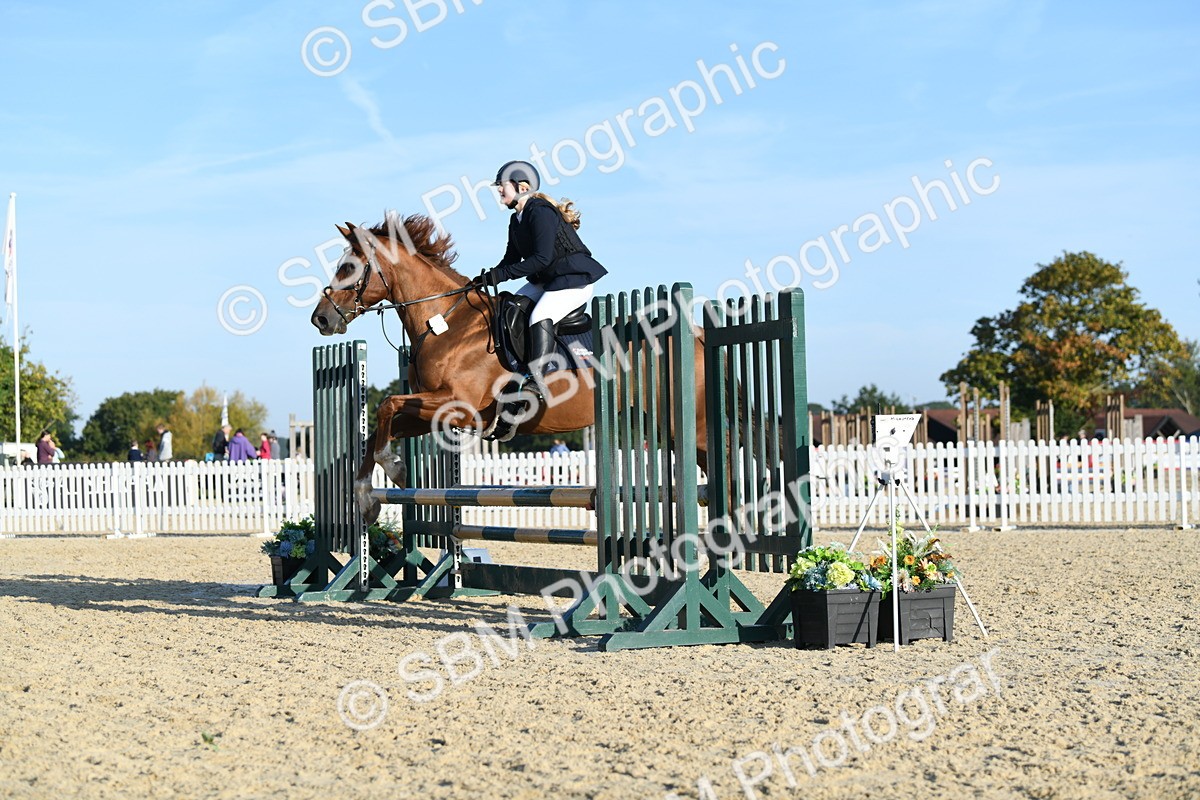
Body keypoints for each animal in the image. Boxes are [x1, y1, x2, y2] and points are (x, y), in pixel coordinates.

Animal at [310, 214, 709, 524]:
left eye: (347, 268)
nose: (321, 319)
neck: (445, 323)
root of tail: (697, 336)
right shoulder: (436, 409)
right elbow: (379, 428)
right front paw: (368, 496)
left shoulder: (461, 406)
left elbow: (386, 405)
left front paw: (393, 468)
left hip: (691, 427)